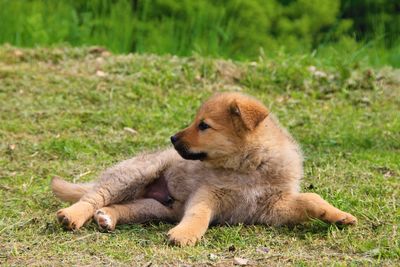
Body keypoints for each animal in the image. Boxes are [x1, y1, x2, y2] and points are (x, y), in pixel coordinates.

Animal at [50, 92, 356, 247]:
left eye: (204, 125)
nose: (173, 139)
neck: (249, 168)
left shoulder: (273, 206)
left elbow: (311, 199)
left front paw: (339, 216)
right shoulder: (208, 194)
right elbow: (198, 215)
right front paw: (185, 235)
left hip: (156, 208)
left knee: (120, 207)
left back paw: (107, 219)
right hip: (133, 174)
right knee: (93, 197)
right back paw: (72, 216)